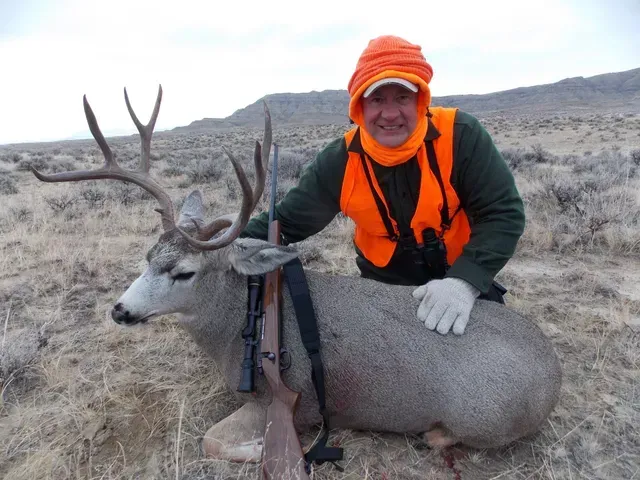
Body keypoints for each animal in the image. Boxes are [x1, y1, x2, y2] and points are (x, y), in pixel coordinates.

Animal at [32, 85, 563, 467]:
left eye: (184, 272)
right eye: (146, 256)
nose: (120, 310)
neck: (227, 332)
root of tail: (554, 374)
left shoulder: (284, 401)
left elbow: (211, 439)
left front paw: (262, 450)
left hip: (482, 415)